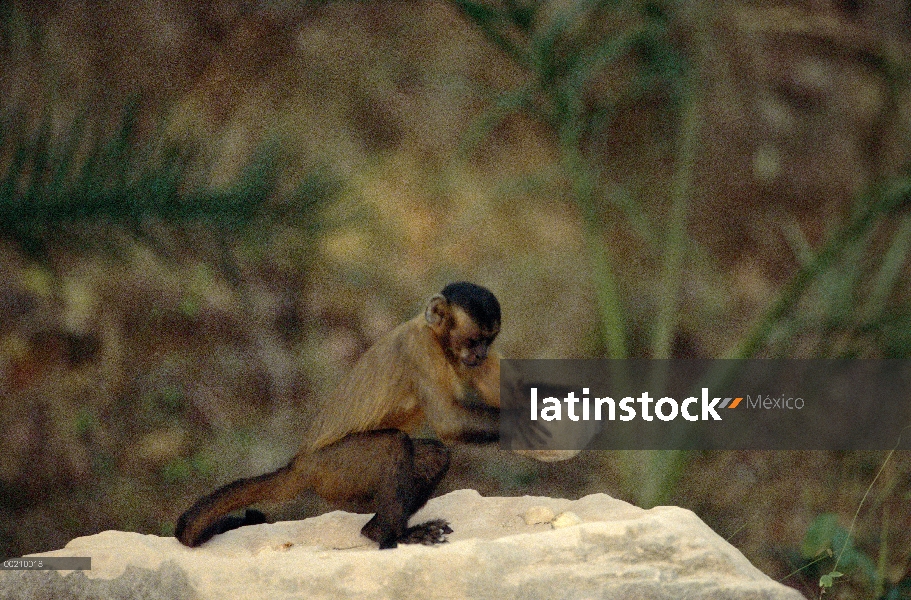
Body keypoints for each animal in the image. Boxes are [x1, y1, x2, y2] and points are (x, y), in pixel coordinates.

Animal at [175, 282, 510, 548]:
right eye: (473, 340)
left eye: (487, 341)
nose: (479, 353)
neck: (438, 340)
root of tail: (299, 462)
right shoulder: (420, 349)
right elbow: (449, 423)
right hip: (331, 471)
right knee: (392, 445)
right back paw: (391, 536)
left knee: (431, 454)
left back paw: (375, 530)